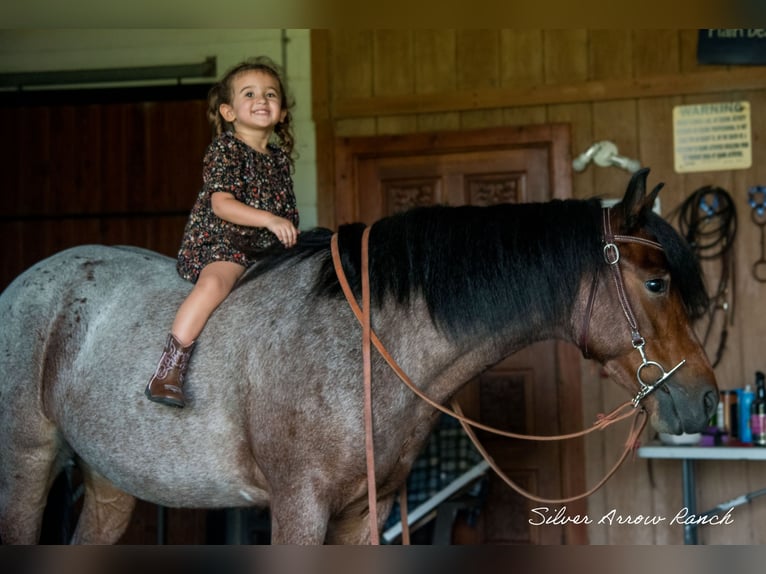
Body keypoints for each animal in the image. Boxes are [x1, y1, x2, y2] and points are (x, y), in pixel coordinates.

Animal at [0, 169, 720, 548]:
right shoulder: (297, 510)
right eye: (657, 283)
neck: (365, 343)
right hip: (28, 466)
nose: (707, 400)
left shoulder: (363, 515)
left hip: (108, 480)